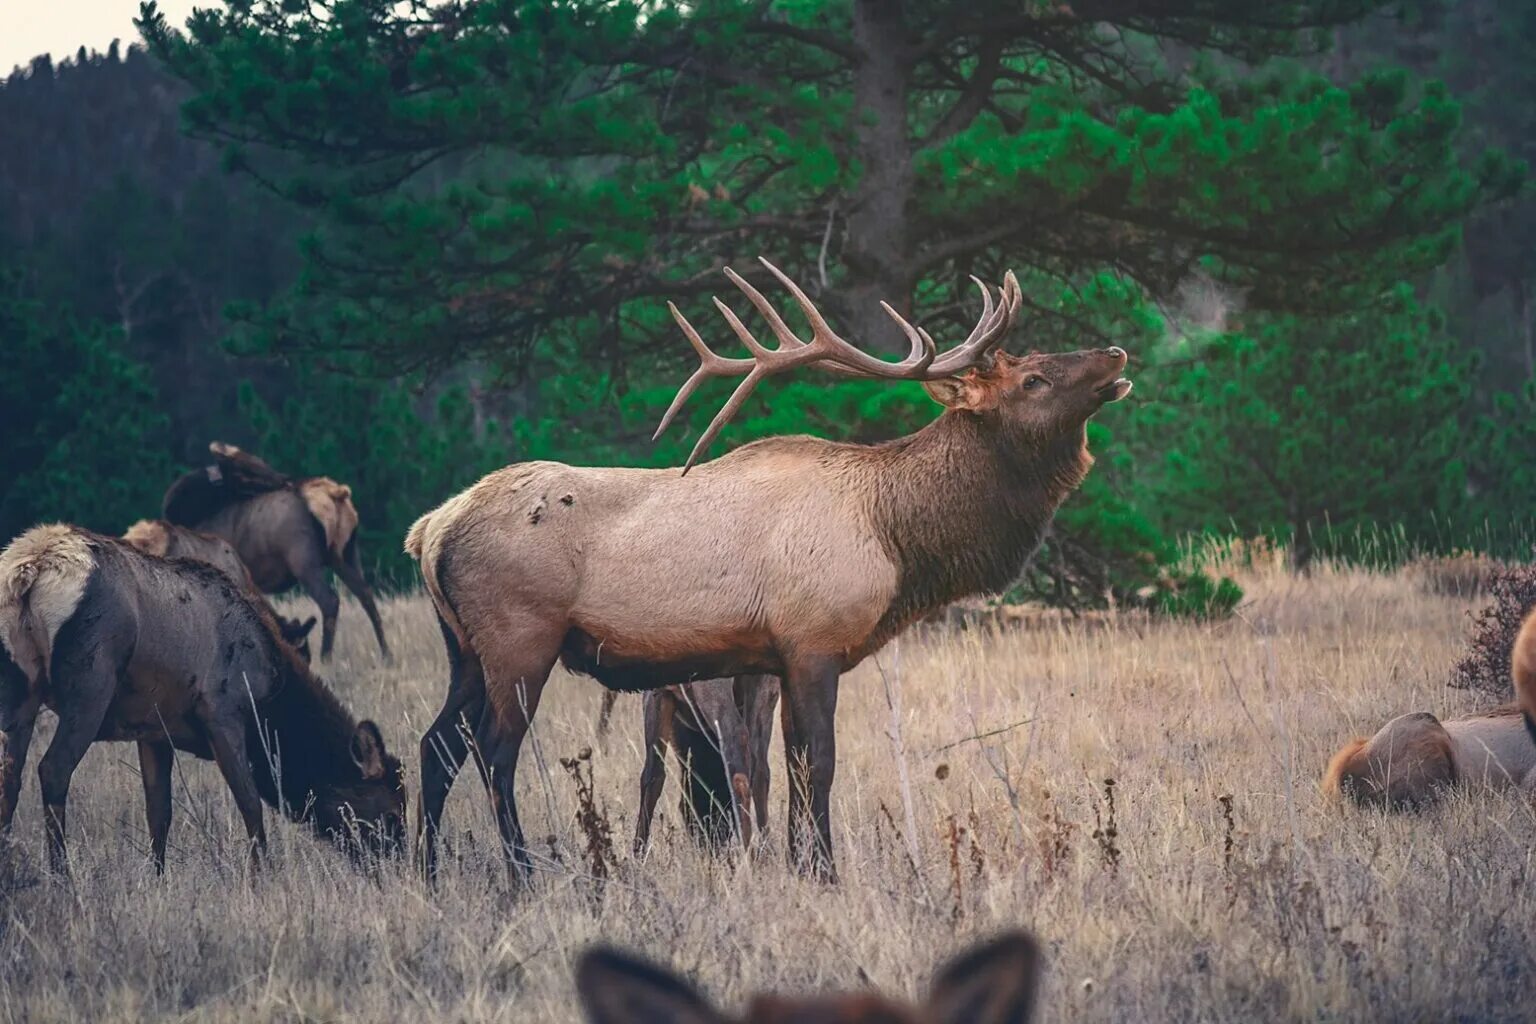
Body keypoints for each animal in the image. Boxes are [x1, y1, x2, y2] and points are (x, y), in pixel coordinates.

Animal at [160, 445, 390, 660]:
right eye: (245, 472)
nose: (286, 480)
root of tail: (338, 494)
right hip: (346, 554)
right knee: (366, 594)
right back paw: (386, 656)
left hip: (303, 558)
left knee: (330, 600)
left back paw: (327, 659)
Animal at [632, 675, 780, 853]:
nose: (714, 843)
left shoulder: (656, 693)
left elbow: (652, 777)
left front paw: (638, 852)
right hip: (765, 692)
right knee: (760, 771)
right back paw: (766, 850)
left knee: (737, 739)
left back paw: (746, 852)